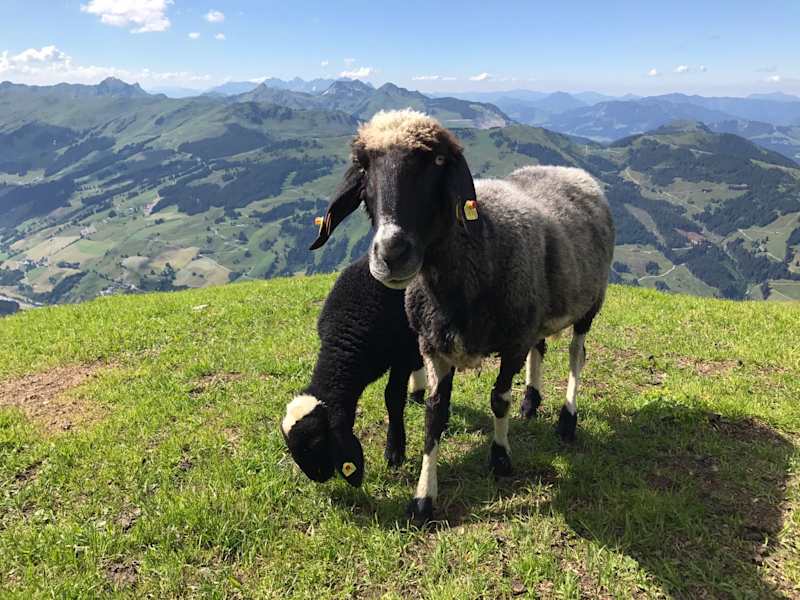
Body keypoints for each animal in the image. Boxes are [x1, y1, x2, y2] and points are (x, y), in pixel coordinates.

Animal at [310, 109, 615, 521]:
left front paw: (500, 458)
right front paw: (423, 498)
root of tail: (567, 169)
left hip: (590, 302)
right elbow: (434, 417)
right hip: (537, 310)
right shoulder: (433, 347)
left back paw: (567, 420)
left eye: (439, 161)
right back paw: (531, 401)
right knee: (542, 349)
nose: (392, 253)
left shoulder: (512, 344)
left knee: (575, 356)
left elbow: (498, 399)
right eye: (363, 166)